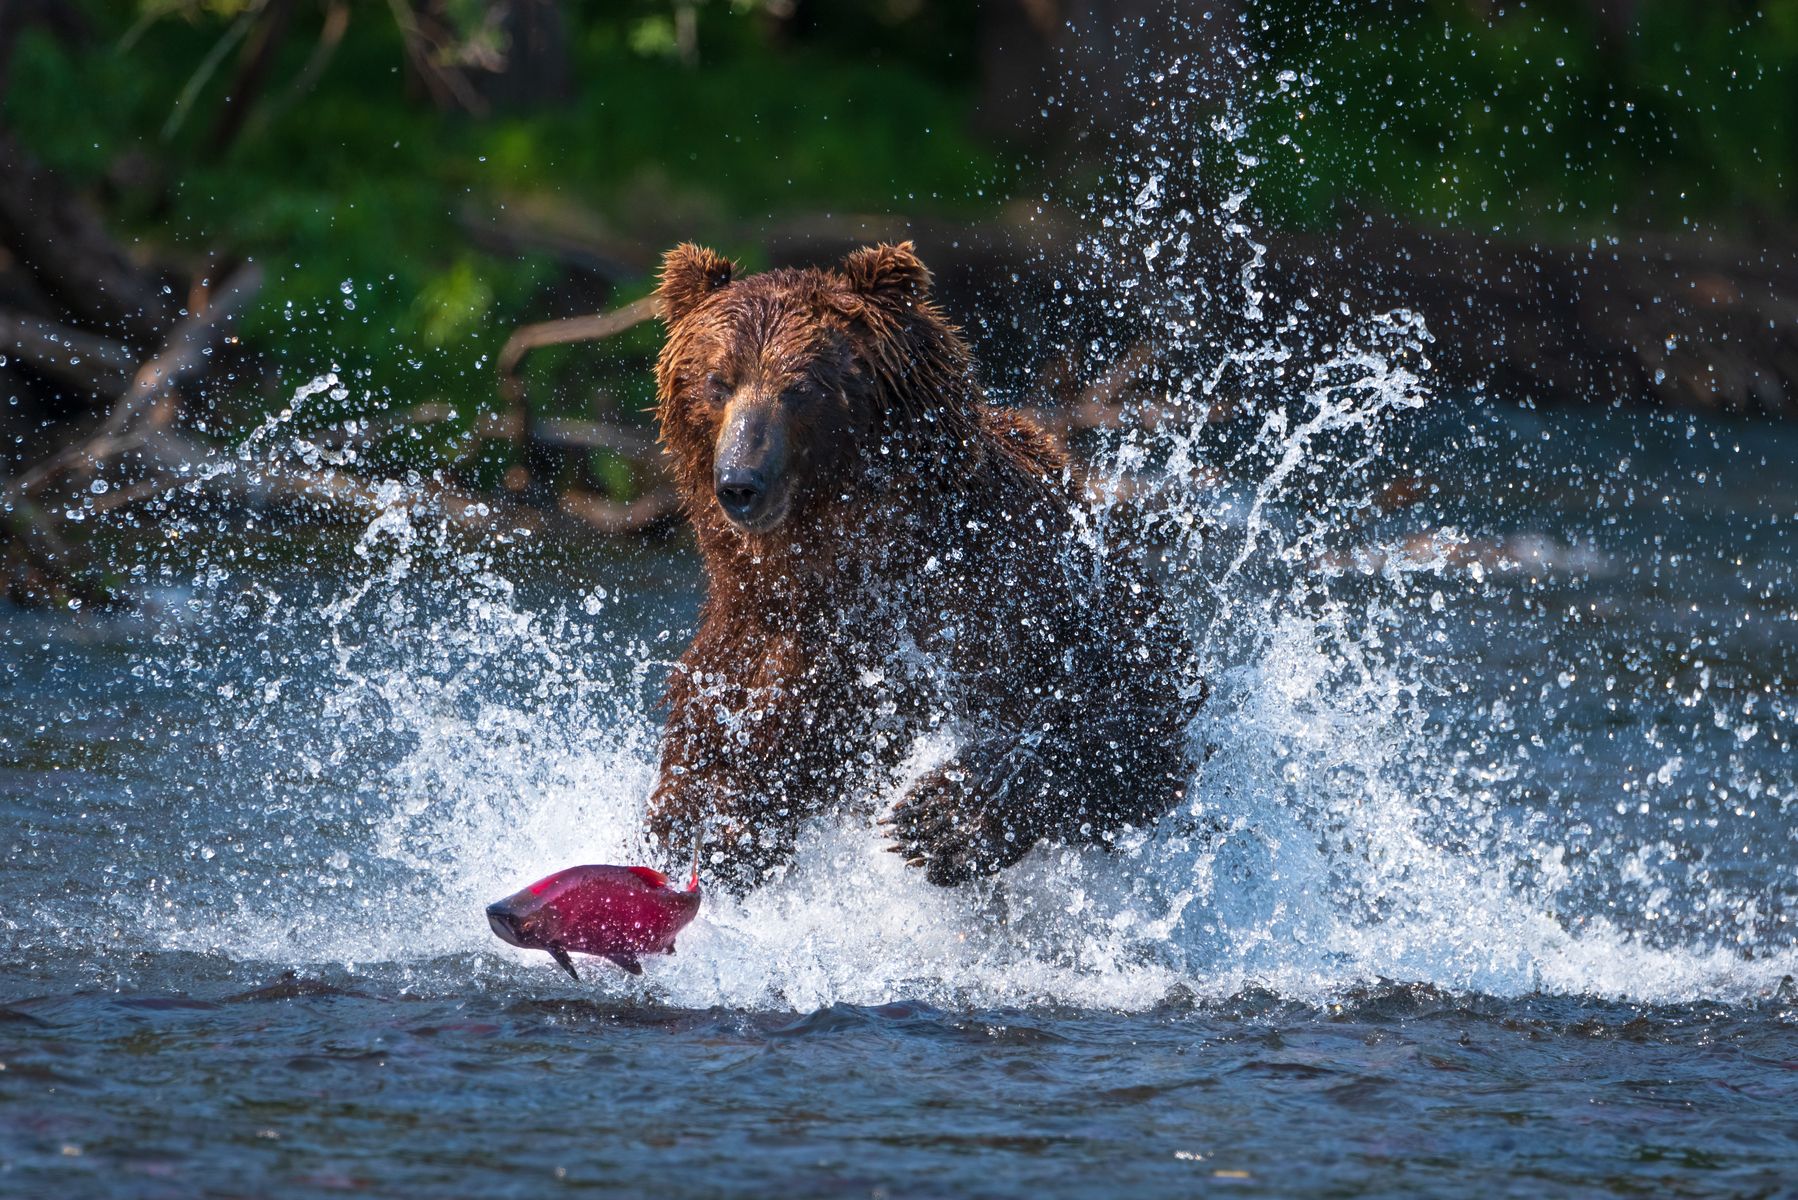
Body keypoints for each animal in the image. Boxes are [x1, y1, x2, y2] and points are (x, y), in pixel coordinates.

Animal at [640, 239, 1201, 888]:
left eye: (800, 386)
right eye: (717, 380)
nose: (740, 483)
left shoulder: (1021, 594)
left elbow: (1128, 717)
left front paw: (942, 818)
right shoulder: (754, 649)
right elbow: (714, 770)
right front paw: (709, 831)